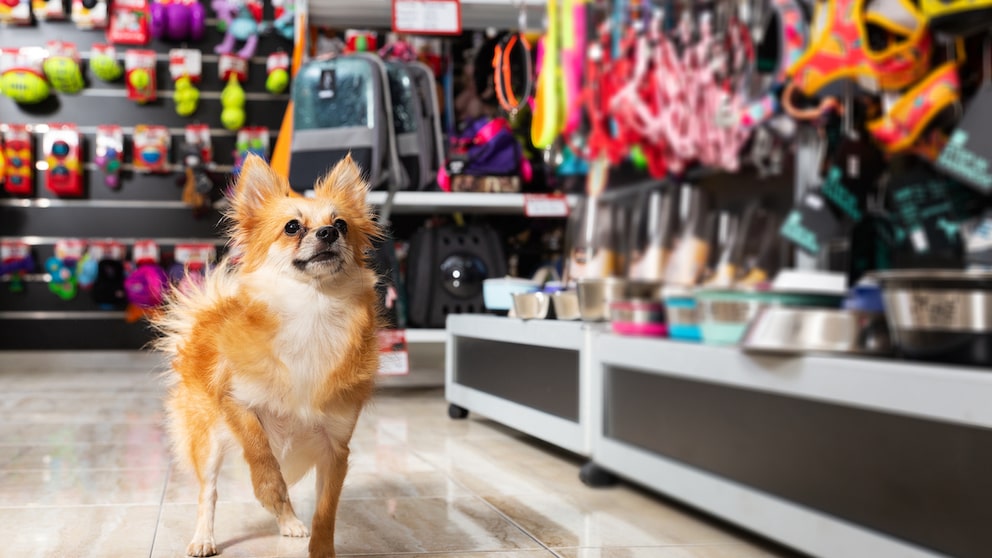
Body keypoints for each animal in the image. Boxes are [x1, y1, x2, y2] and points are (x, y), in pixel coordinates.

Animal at [156, 154, 384, 558]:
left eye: (341, 224)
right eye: (292, 227)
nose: (328, 233)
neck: (313, 313)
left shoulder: (335, 448)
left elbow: (326, 509)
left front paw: (321, 549)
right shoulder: (236, 403)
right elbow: (260, 454)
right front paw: (268, 491)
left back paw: (290, 521)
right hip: (207, 440)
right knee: (208, 492)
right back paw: (204, 537)